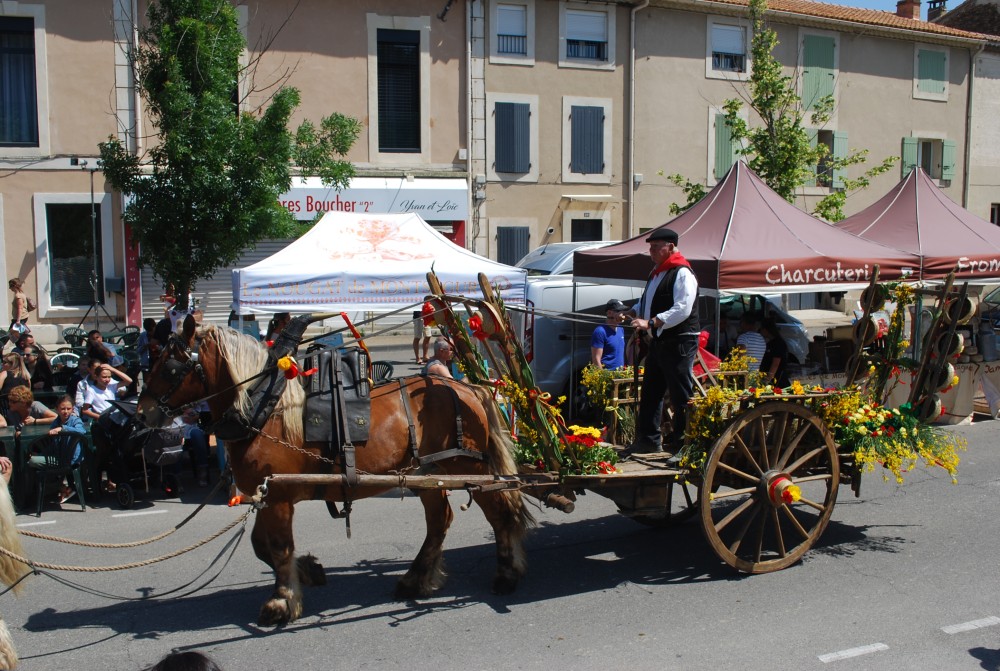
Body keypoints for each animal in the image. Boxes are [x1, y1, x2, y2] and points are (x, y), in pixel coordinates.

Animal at [139, 318, 540, 628]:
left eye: (169, 367)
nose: (142, 414)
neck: (264, 407)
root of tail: (466, 387)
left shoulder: (279, 497)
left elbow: (278, 548)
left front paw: (281, 602)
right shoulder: (267, 495)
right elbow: (261, 546)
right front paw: (308, 571)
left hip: (469, 466)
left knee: (500, 512)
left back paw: (506, 574)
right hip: (427, 471)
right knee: (439, 519)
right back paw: (416, 579)